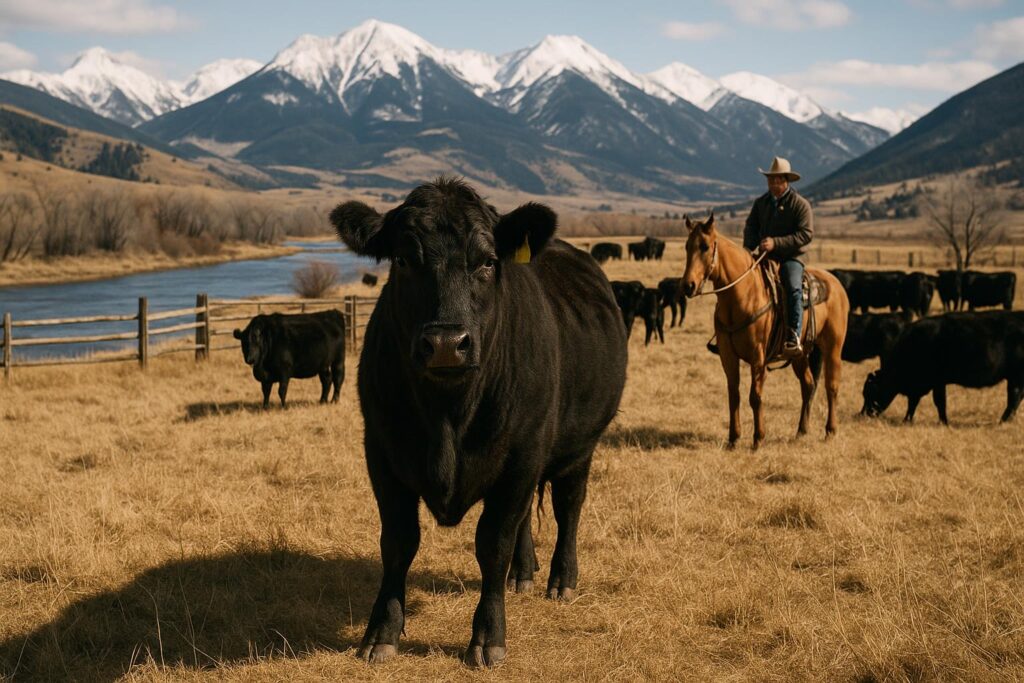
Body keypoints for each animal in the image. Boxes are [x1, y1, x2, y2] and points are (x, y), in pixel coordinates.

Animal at [329, 177, 628, 668]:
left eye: (487, 261)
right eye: (404, 259)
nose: (447, 343)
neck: (448, 416)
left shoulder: (520, 456)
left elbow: (493, 544)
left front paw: (488, 638)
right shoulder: (383, 454)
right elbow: (398, 542)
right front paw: (380, 634)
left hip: (578, 447)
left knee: (568, 507)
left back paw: (561, 580)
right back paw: (523, 575)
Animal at [862, 311, 1024, 424]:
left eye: (870, 392)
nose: (863, 414)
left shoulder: (937, 381)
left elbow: (939, 402)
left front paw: (943, 422)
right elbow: (914, 403)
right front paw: (907, 419)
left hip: (1016, 376)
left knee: (1014, 397)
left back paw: (1003, 421)